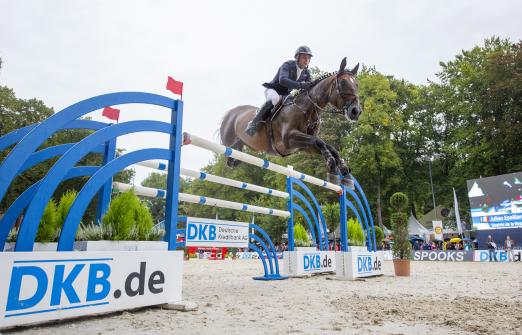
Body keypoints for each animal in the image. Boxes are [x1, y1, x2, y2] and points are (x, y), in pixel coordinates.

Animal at [217, 58, 360, 188]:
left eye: (357, 85)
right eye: (343, 82)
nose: (356, 111)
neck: (305, 110)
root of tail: (231, 112)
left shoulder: (306, 147)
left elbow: (328, 146)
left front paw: (344, 171)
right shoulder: (289, 139)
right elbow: (319, 141)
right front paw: (332, 164)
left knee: (236, 154)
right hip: (228, 140)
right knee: (228, 153)